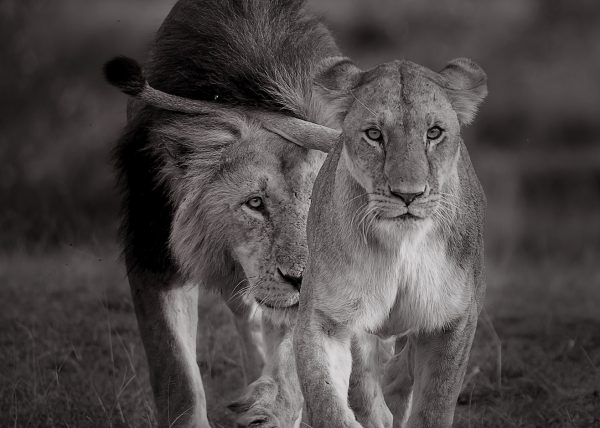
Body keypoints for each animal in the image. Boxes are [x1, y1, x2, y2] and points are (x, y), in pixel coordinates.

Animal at [105, 1, 342, 426]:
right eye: (255, 203)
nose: (301, 279)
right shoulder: (153, 255)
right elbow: (176, 372)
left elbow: (295, 359)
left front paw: (273, 406)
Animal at [294, 57, 488, 428]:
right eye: (374, 135)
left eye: (433, 132)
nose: (408, 195)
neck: (402, 247)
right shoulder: (326, 314)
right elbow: (327, 396)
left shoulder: (455, 318)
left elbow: (435, 403)